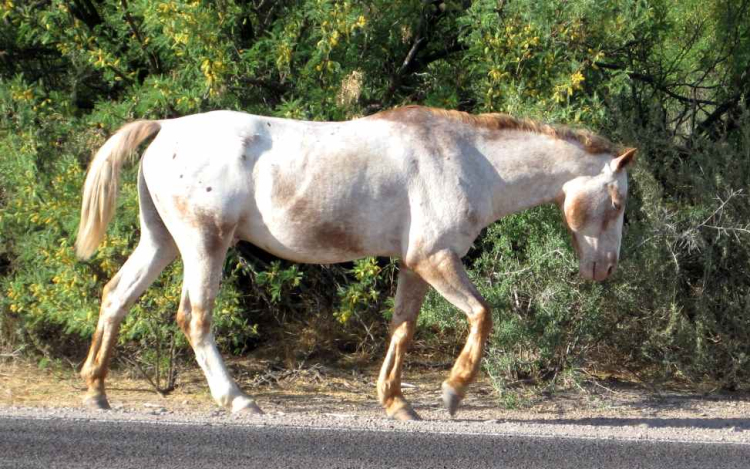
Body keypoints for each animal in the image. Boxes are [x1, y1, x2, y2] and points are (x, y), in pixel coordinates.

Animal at [76, 106, 636, 420]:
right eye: (618, 201)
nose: (605, 269)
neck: (471, 161)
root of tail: (166, 127)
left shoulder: (415, 264)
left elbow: (402, 329)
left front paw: (397, 402)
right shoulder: (436, 257)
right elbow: (482, 314)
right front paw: (451, 394)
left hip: (162, 241)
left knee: (116, 296)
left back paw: (97, 390)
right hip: (204, 244)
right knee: (195, 318)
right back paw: (238, 399)